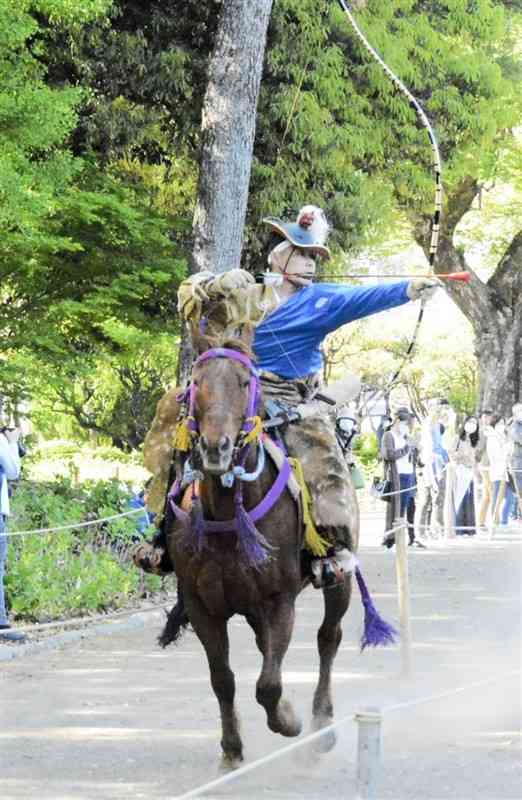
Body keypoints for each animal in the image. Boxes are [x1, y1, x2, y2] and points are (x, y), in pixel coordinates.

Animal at [158, 332, 390, 768]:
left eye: (244, 383)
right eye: (196, 382)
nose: (216, 449)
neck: (229, 514)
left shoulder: (278, 599)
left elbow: (268, 684)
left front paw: (288, 721)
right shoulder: (201, 605)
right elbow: (223, 679)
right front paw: (231, 749)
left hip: (339, 577)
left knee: (327, 638)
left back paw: (322, 726)